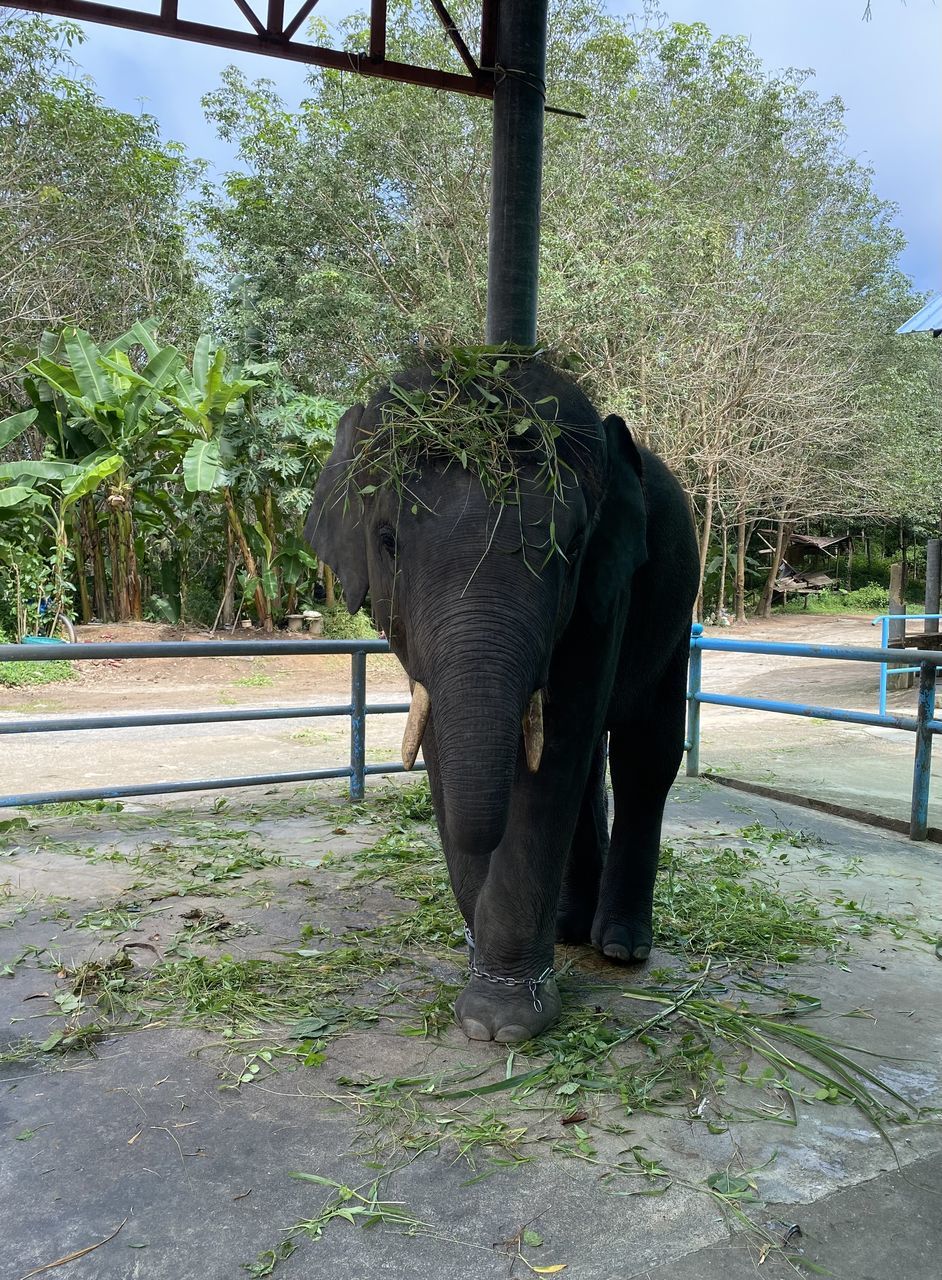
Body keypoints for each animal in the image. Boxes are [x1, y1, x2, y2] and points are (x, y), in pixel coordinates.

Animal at [307, 355, 701, 1044]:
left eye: (571, 544)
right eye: (387, 540)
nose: (471, 941)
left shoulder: (606, 593)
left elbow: (556, 755)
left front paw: (501, 1025)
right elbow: (446, 745)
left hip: (678, 617)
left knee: (643, 759)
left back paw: (621, 947)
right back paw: (570, 928)